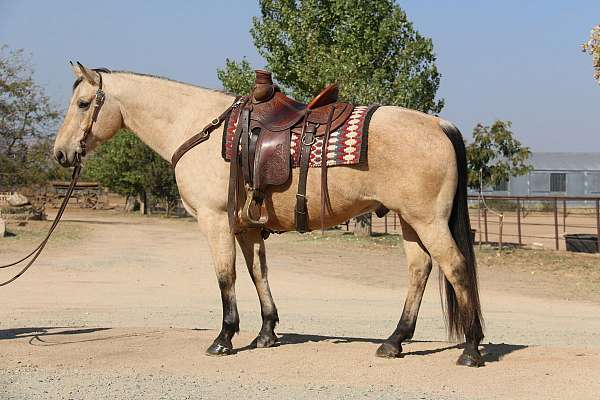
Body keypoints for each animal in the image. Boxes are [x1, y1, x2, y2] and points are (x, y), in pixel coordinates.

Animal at [51, 64, 482, 368]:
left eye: (84, 104)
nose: (60, 153)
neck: (200, 129)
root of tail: (440, 124)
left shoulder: (215, 221)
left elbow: (225, 276)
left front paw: (224, 338)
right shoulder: (246, 227)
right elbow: (258, 273)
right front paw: (266, 333)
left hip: (427, 221)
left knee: (457, 268)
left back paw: (472, 349)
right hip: (410, 222)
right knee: (420, 270)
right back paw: (394, 342)